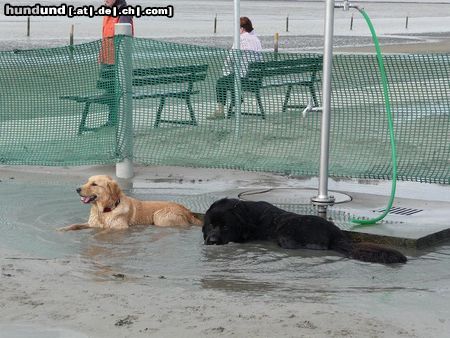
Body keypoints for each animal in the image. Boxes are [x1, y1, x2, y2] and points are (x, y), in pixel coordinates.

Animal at [202, 198, 406, 264]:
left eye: (226, 227)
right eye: (211, 225)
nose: (211, 241)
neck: (247, 216)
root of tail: (336, 234)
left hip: (286, 233)